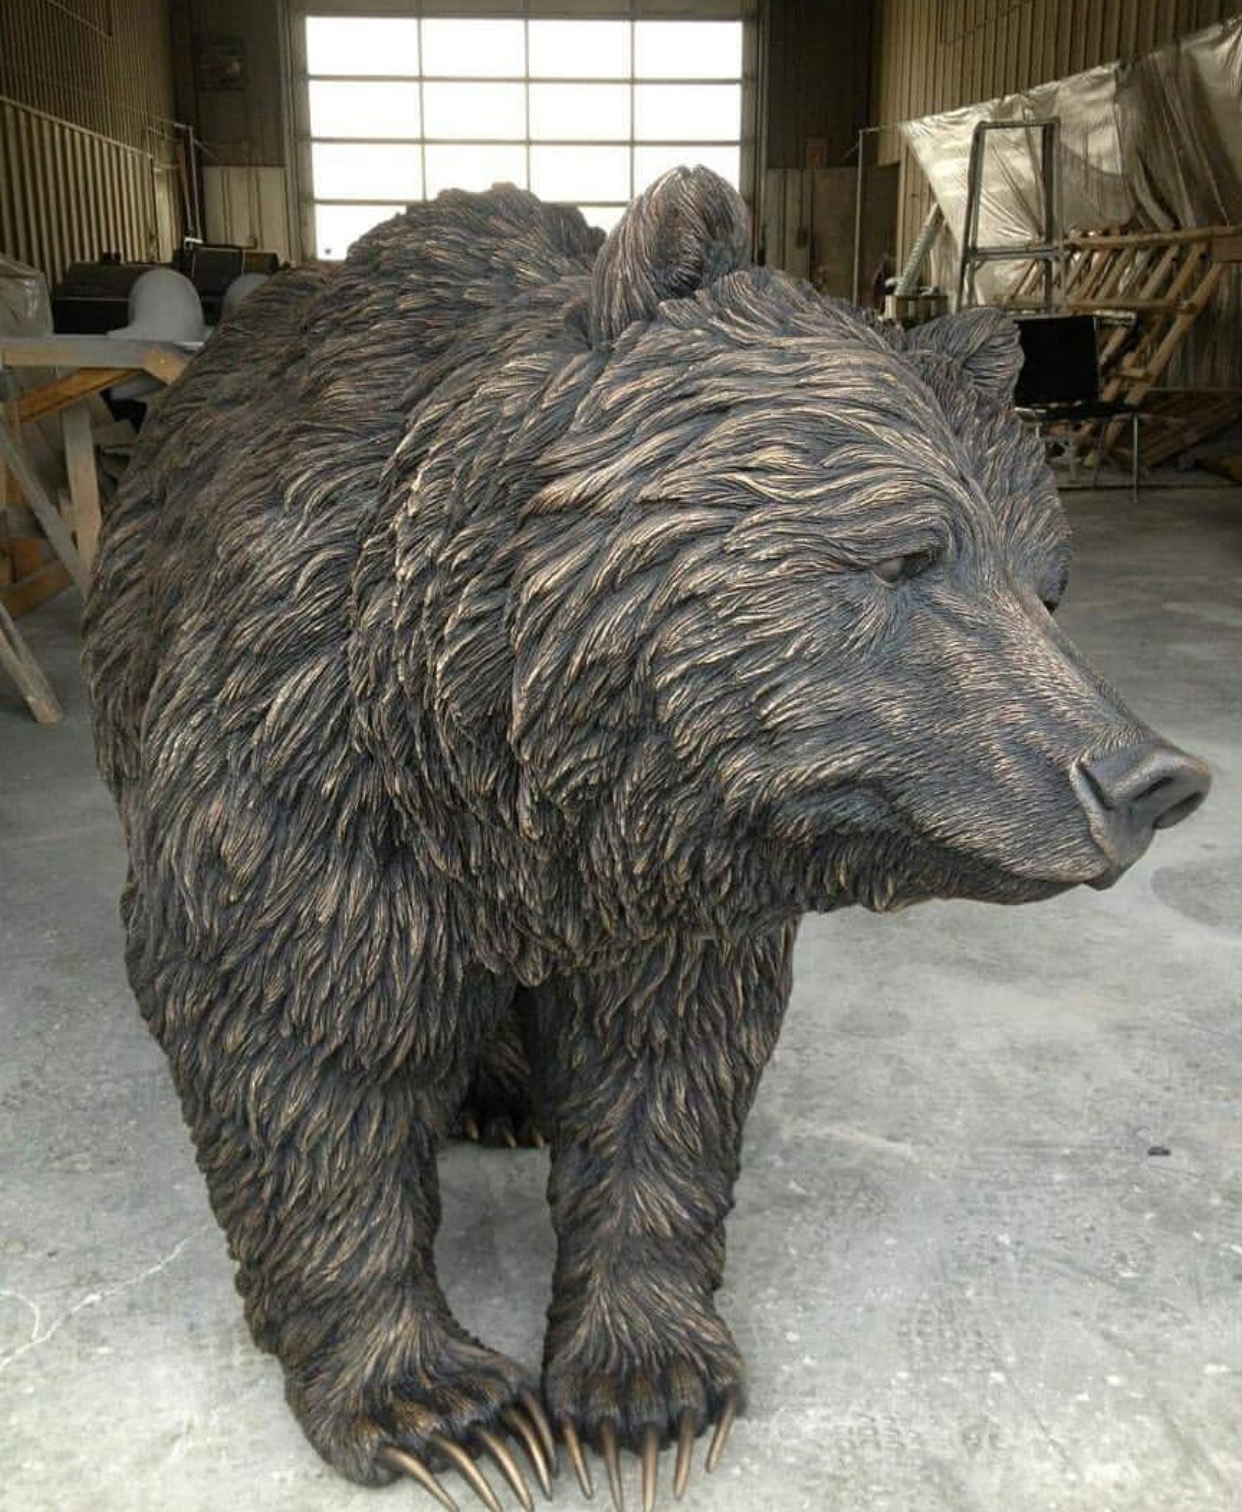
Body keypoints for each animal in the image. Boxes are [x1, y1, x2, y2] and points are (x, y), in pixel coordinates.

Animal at [82, 167, 1209, 1512]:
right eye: (906, 555)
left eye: (1047, 587)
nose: (1150, 778)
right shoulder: (310, 766)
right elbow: (306, 1049)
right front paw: (447, 1412)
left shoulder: (675, 884)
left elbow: (664, 1067)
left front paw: (645, 1392)